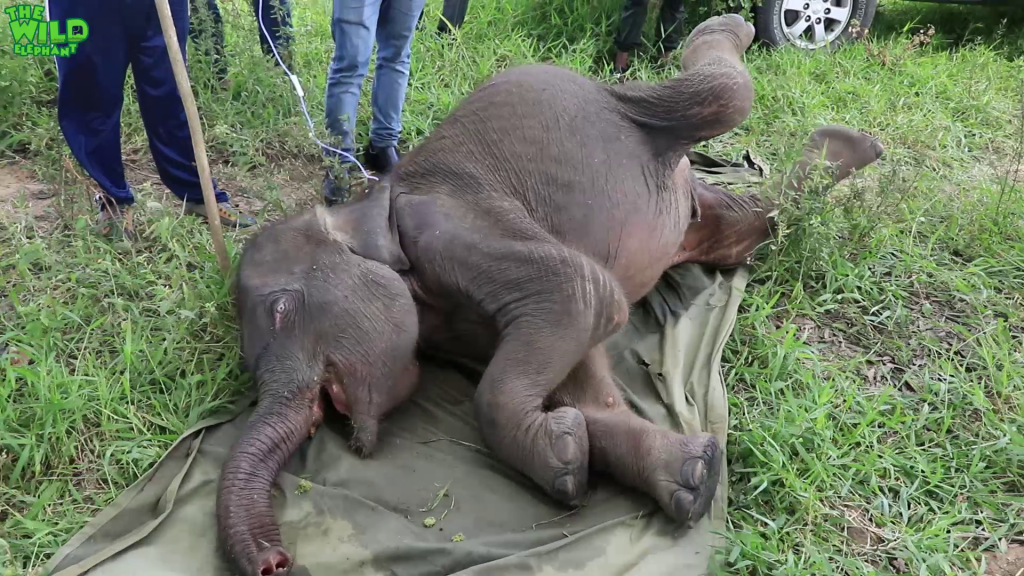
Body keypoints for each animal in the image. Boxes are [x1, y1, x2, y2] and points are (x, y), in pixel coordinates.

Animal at [216, 14, 880, 573]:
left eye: (282, 310)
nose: (277, 562)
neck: (361, 208)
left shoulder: (450, 225)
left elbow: (584, 296)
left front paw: (563, 465)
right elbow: (586, 385)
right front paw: (679, 476)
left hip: (635, 107)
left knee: (722, 96)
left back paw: (739, 35)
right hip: (696, 214)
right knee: (748, 227)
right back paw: (839, 153)